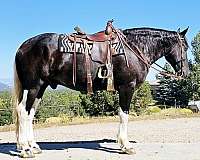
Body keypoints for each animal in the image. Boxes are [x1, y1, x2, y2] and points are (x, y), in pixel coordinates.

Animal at [12, 25, 189, 158]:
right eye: (185, 47)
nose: (186, 73)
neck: (133, 48)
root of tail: (23, 46)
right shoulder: (127, 87)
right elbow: (124, 115)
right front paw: (126, 145)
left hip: (41, 87)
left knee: (30, 114)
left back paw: (33, 146)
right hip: (33, 86)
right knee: (23, 112)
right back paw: (25, 149)